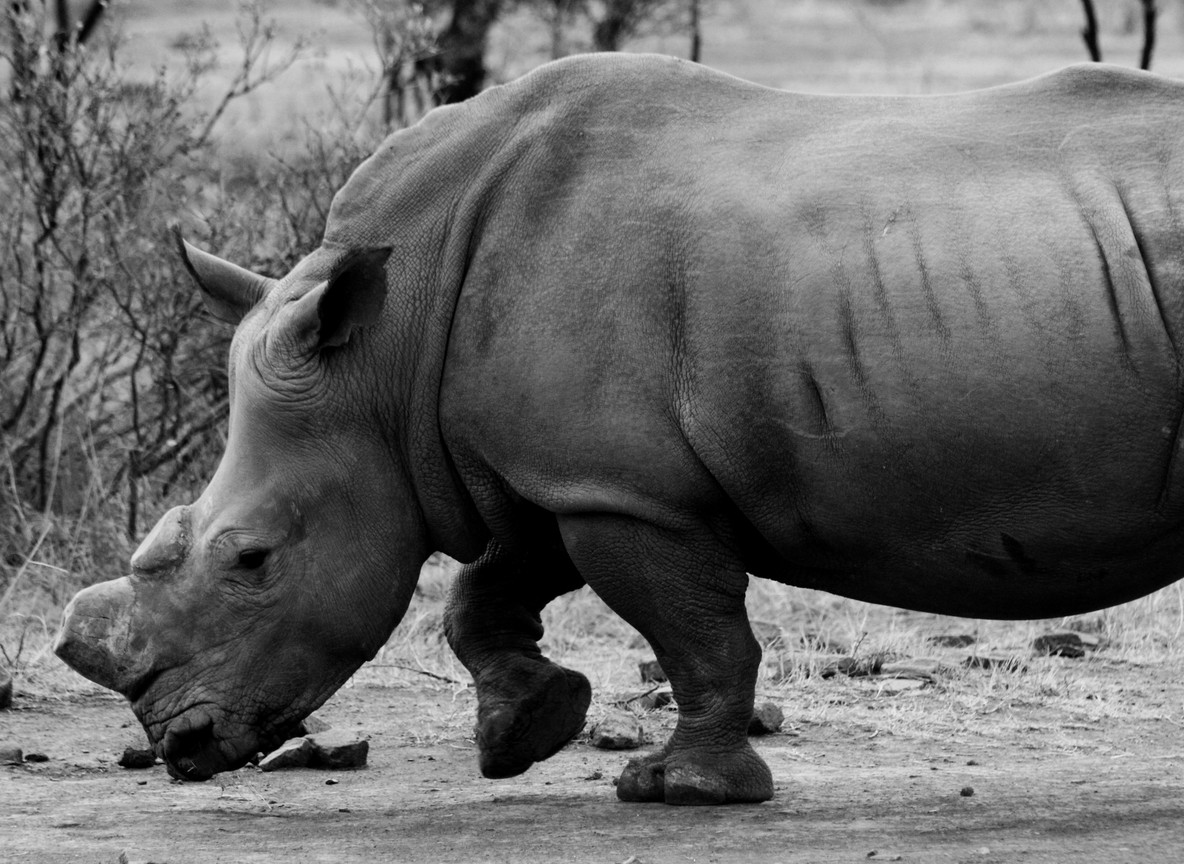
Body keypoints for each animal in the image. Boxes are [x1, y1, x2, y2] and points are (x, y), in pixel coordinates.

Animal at [53, 52, 1184, 805]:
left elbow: (698, 634)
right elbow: (480, 594)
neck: (383, 356)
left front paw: (677, 790)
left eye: (251, 561)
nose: (178, 746)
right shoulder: (561, 474)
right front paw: (522, 734)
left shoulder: (621, 491)